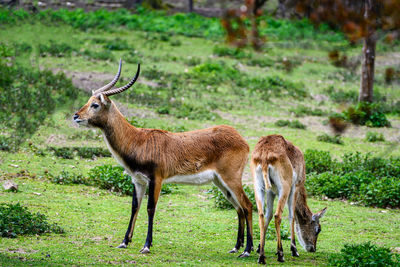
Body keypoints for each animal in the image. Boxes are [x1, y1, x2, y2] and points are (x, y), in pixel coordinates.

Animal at [73, 60, 253, 258]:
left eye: (95, 104)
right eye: (88, 101)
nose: (76, 116)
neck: (137, 140)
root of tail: (240, 138)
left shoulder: (156, 179)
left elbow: (150, 208)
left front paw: (146, 246)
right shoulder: (138, 180)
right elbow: (135, 207)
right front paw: (124, 242)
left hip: (231, 178)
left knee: (248, 206)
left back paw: (247, 251)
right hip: (219, 182)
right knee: (238, 208)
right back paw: (236, 247)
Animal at [252, 135, 326, 264]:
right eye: (318, 229)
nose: (313, 248)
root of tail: (265, 157)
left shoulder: (271, 192)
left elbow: (268, 215)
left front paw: (259, 247)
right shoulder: (295, 187)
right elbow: (292, 216)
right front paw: (294, 250)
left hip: (259, 187)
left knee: (261, 215)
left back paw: (261, 257)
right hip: (284, 188)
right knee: (278, 216)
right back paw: (281, 254)